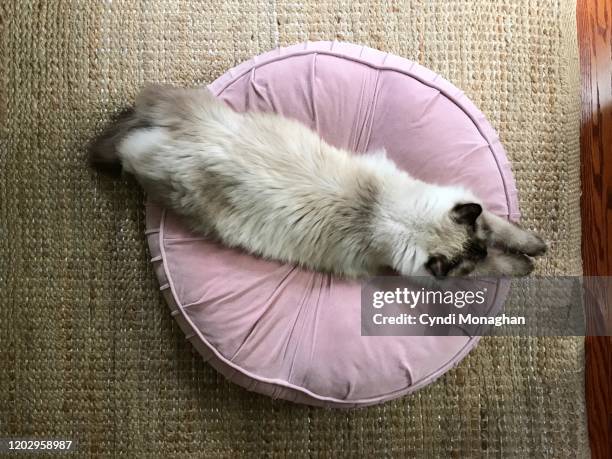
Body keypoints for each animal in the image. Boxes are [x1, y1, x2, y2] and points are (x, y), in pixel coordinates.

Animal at [88, 85, 548, 280]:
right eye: (474, 256)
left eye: (479, 245)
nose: (481, 249)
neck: (379, 214)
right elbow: (501, 264)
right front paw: (526, 264)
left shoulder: (476, 214)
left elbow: (508, 230)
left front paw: (536, 247)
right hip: (172, 186)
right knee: (125, 145)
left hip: (200, 106)